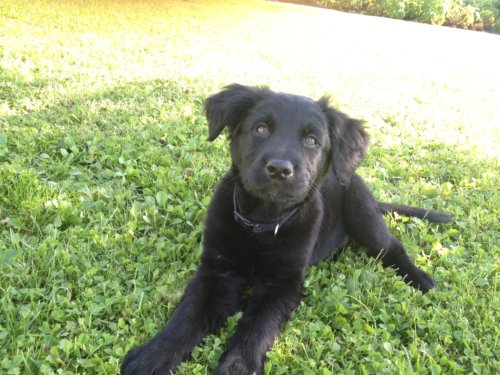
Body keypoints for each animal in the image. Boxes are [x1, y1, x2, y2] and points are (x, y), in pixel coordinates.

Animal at [122, 85, 454, 375]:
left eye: (311, 141)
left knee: (392, 247)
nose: (279, 170)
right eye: (260, 130)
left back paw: (419, 278)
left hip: (363, 214)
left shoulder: (282, 284)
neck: (261, 224)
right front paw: (153, 356)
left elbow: (258, 325)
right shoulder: (216, 271)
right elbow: (187, 315)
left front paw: (238, 367)